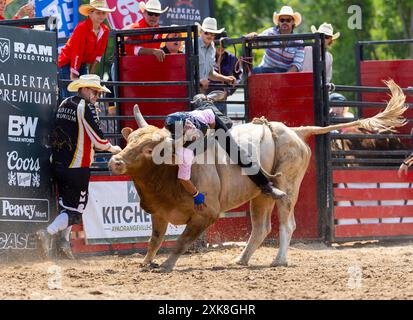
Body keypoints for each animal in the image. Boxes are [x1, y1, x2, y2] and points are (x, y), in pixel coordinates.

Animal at [107, 79, 406, 272]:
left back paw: (279, 260)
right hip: (260, 195)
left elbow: (181, 241)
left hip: (288, 185)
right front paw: (146, 263)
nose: (115, 162)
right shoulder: (158, 212)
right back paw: (241, 259)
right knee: (261, 228)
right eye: (130, 140)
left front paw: (167, 265)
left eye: (150, 149)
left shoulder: (207, 214)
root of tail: (296, 131)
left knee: (287, 223)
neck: (168, 171)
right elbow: (155, 239)